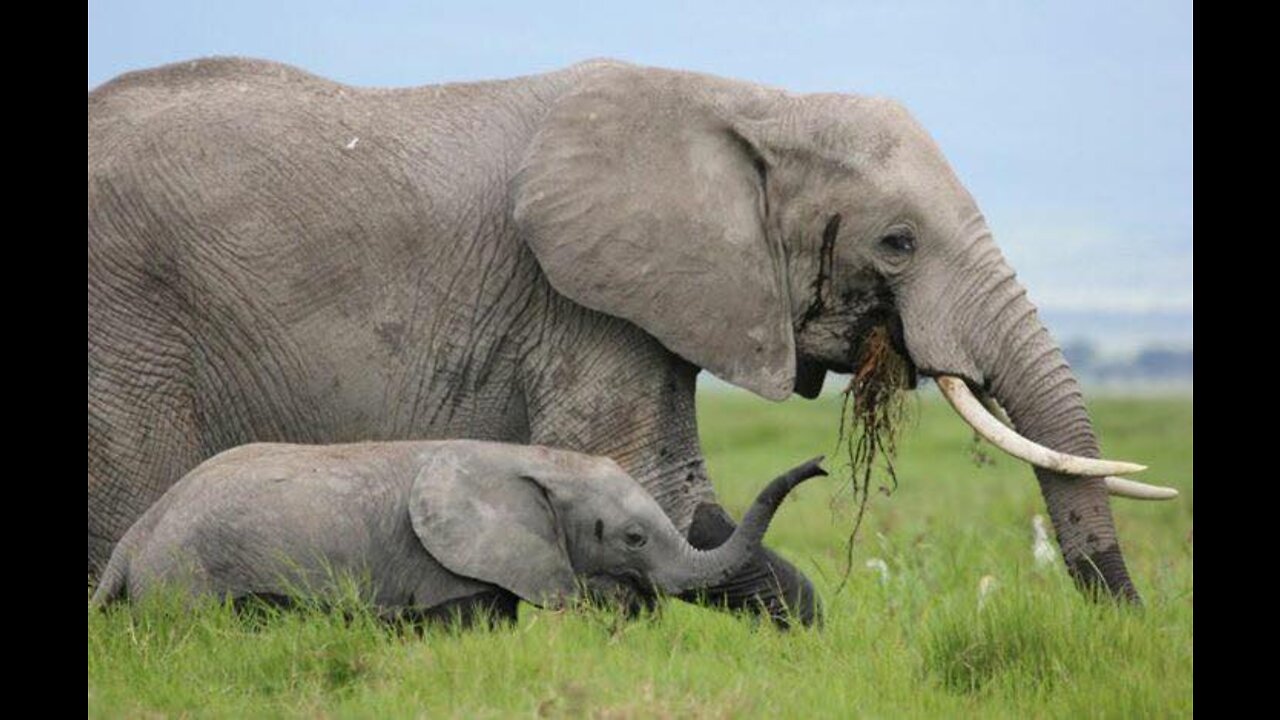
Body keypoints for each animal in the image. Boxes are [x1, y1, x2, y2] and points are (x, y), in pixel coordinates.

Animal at [94, 438, 824, 622]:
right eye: (632, 539)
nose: (821, 465)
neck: (530, 460)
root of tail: (131, 542)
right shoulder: (443, 565)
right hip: (189, 577)